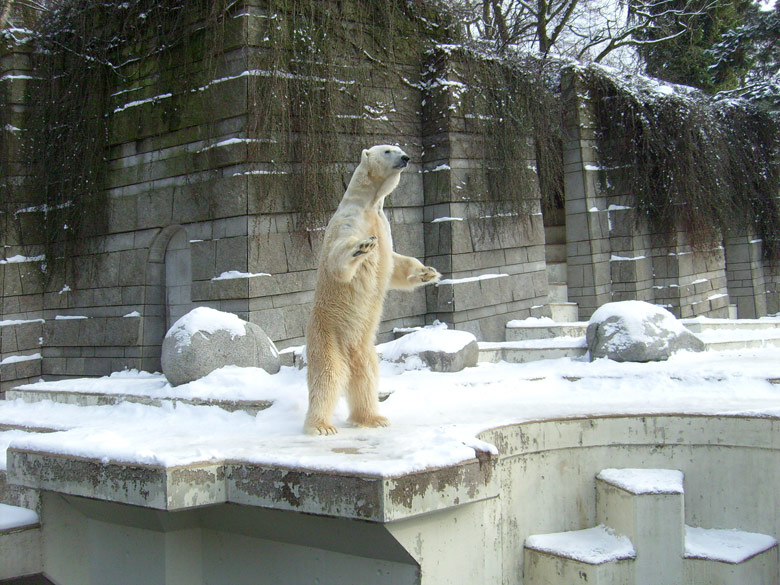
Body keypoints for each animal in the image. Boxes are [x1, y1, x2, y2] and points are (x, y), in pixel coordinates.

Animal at [304, 143, 438, 432]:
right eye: (388, 150)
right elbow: (338, 260)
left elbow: (397, 265)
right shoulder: (350, 221)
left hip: (365, 345)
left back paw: (373, 418)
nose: (405, 158)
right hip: (327, 334)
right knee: (328, 376)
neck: (369, 203)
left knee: (366, 376)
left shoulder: (383, 226)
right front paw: (362, 246)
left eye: (398, 148)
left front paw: (427, 272)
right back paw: (320, 425)